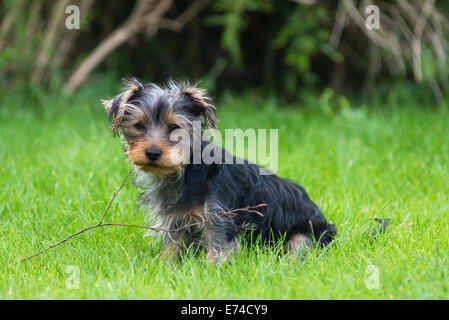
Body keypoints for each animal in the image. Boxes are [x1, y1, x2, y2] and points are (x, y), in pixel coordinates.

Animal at [100, 77, 332, 262]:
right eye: (139, 126)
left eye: (175, 128)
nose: (153, 153)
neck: (186, 170)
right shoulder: (176, 220)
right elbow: (171, 248)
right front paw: (162, 269)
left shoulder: (219, 218)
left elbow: (217, 251)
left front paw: (212, 273)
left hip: (305, 236)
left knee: (298, 251)